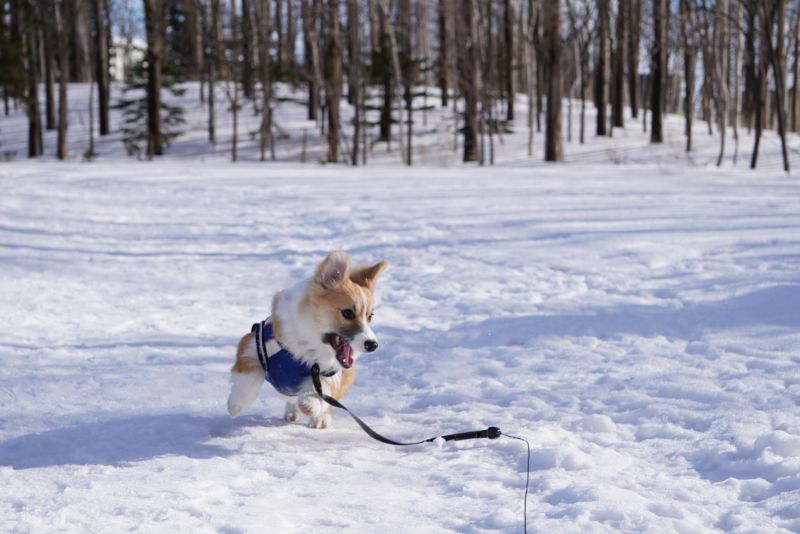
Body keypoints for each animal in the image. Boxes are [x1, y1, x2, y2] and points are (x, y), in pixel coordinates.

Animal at [227, 251, 390, 432]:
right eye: (347, 313)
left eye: (370, 316)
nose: (372, 345)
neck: (309, 344)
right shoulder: (253, 345)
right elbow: (250, 377)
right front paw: (237, 405)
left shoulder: (330, 372)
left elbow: (323, 389)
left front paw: (309, 404)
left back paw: (319, 418)